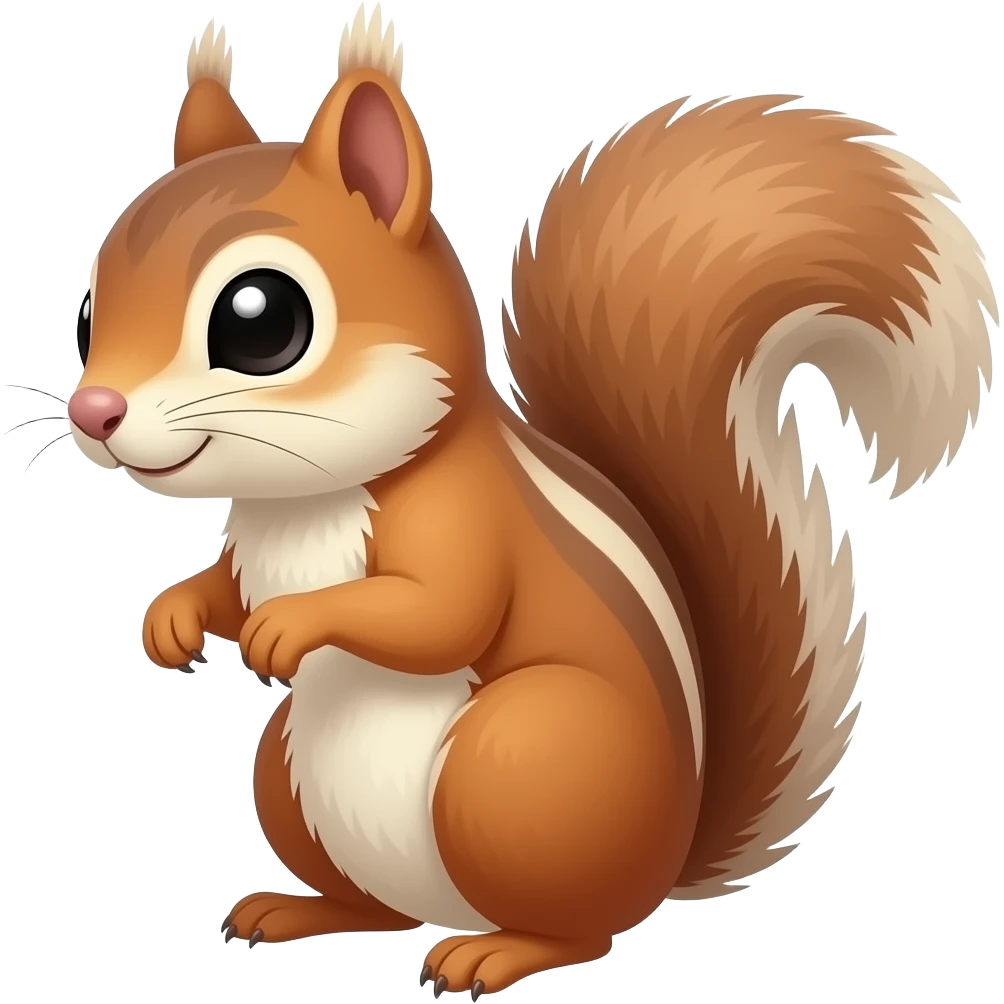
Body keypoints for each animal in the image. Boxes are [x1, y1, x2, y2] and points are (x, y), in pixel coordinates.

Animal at [67, 6, 996, 998]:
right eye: (87, 314)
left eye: (261, 319)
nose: (94, 412)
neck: (303, 499)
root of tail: (668, 860)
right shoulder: (252, 550)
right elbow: (225, 586)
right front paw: (172, 618)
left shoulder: (464, 520)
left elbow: (441, 614)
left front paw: (290, 624)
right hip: (287, 775)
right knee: (380, 909)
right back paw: (298, 910)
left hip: (517, 760)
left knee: (581, 929)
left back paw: (497, 952)